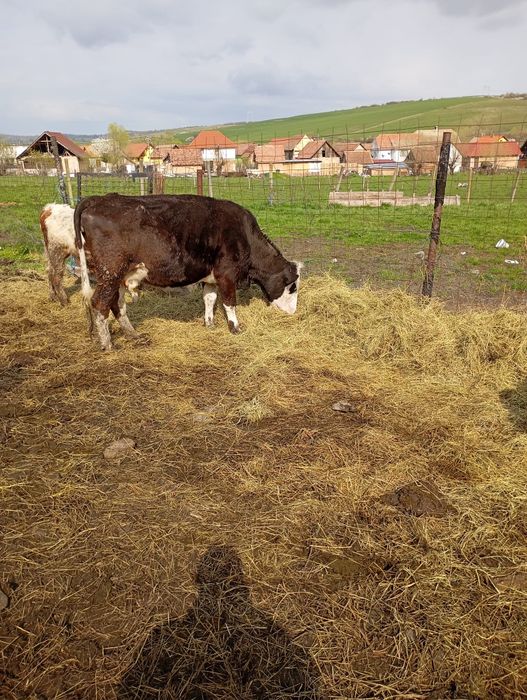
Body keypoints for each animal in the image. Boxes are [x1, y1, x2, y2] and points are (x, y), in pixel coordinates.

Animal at [74, 193, 302, 350]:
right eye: (292, 287)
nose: (293, 312)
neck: (246, 236)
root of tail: (99, 199)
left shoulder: (211, 277)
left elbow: (209, 299)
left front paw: (209, 323)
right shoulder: (227, 274)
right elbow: (230, 302)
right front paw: (235, 328)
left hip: (120, 275)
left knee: (117, 303)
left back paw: (133, 334)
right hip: (110, 272)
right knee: (99, 303)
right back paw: (108, 345)